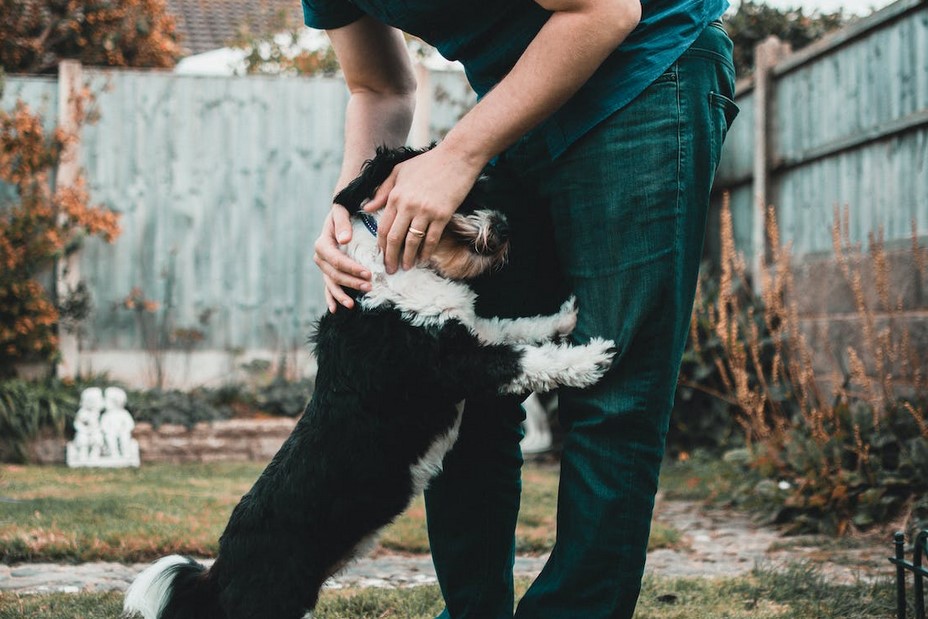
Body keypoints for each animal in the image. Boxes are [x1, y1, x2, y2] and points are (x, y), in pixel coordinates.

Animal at [123, 147, 616, 619]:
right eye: (465, 190)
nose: (507, 226)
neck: (394, 267)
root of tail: (218, 573)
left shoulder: (471, 331)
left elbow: (515, 328)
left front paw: (563, 318)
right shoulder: (455, 362)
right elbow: (525, 357)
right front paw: (590, 358)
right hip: (273, 599)